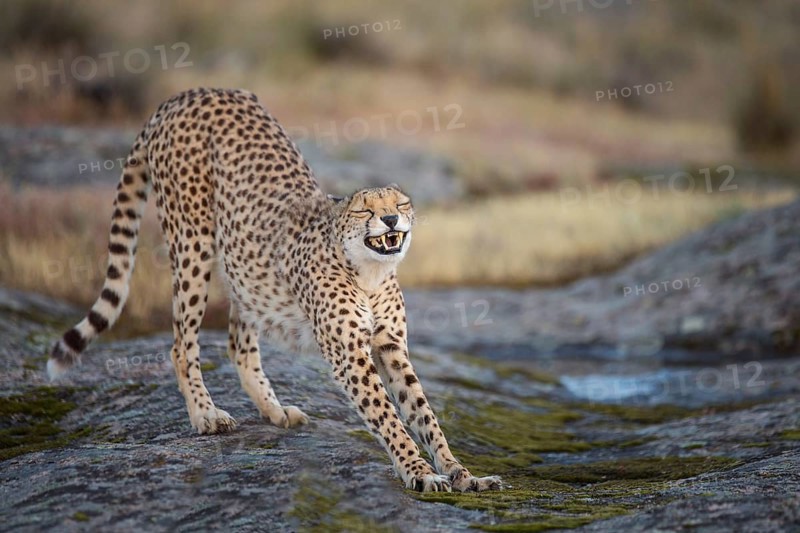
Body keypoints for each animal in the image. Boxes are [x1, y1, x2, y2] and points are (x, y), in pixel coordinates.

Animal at [48, 87, 501, 493]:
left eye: (400, 204)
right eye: (365, 209)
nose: (391, 220)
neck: (369, 272)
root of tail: (189, 93)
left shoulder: (389, 345)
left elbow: (423, 413)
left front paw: (462, 474)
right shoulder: (350, 354)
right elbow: (390, 417)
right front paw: (419, 472)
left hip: (243, 270)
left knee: (239, 343)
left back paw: (274, 409)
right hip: (192, 244)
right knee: (182, 345)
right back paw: (206, 414)